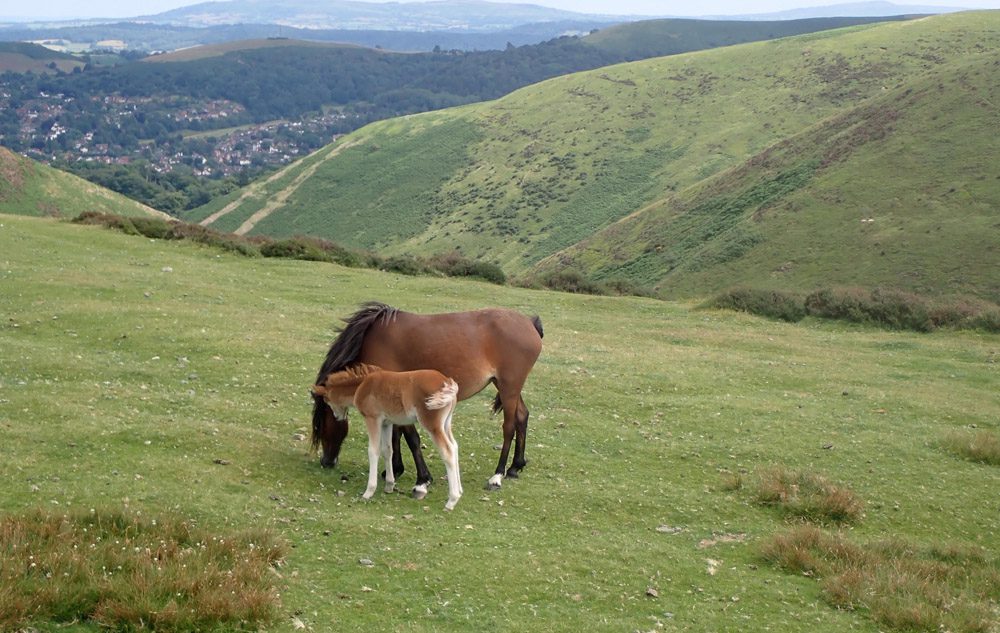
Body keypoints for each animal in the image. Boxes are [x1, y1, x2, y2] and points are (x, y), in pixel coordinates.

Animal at [311, 301, 543, 495]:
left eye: (321, 425)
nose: (326, 461)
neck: (372, 339)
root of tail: (529, 323)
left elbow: (410, 437)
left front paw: (422, 479)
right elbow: (396, 434)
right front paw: (395, 469)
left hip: (509, 387)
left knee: (509, 426)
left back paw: (497, 475)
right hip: (507, 387)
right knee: (522, 416)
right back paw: (515, 467)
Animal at [312, 364, 463, 510]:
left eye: (326, 400)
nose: (337, 417)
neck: (361, 386)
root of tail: (447, 382)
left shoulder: (373, 418)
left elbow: (373, 451)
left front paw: (369, 492)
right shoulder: (387, 423)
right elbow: (388, 450)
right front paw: (389, 485)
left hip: (432, 424)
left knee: (448, 451)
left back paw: (451, 501)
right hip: (446, 423)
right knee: (455, 446)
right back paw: (460, 490)